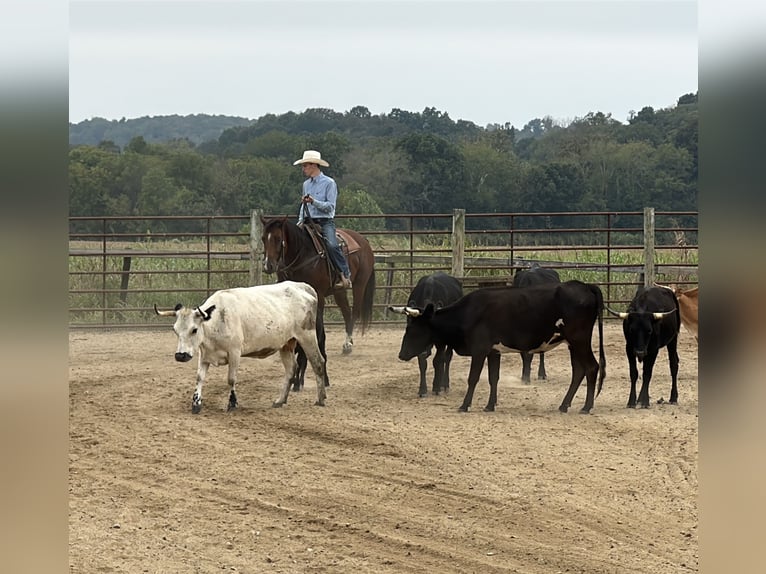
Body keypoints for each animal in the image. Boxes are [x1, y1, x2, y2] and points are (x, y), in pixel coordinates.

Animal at [260, 215, 376, 390]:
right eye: (262, 238)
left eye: (278, 238)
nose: (268, 266)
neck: (302, 255)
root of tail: (363, 240)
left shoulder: (319, 296)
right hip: (339, 291)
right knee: (346, 313)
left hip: (360, 284)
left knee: (354, 311)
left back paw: (348, 344)